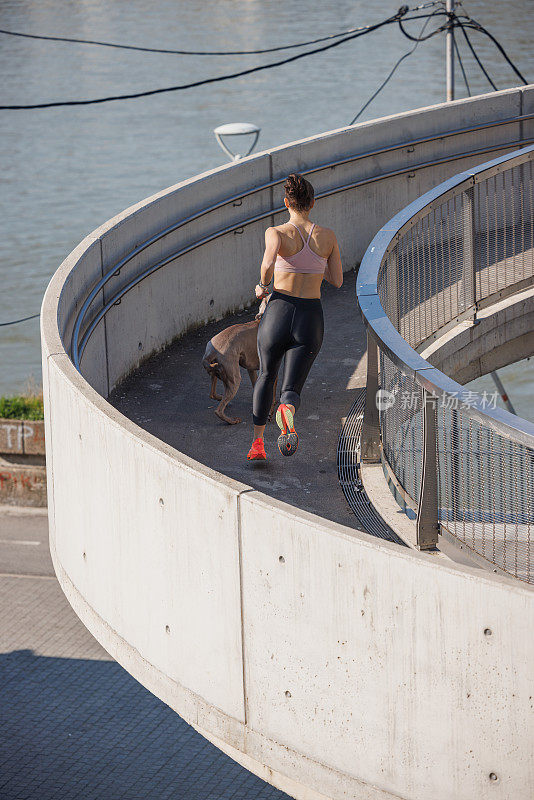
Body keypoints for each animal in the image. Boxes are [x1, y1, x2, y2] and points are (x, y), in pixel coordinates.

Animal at [201, 296, 276, 424]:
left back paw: (222, 399)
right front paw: (270, 411)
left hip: (216, 372)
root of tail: (211, 351)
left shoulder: (251, 369)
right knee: (218, 411)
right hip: (234, 378)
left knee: (212, 394)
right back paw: (231, 420)